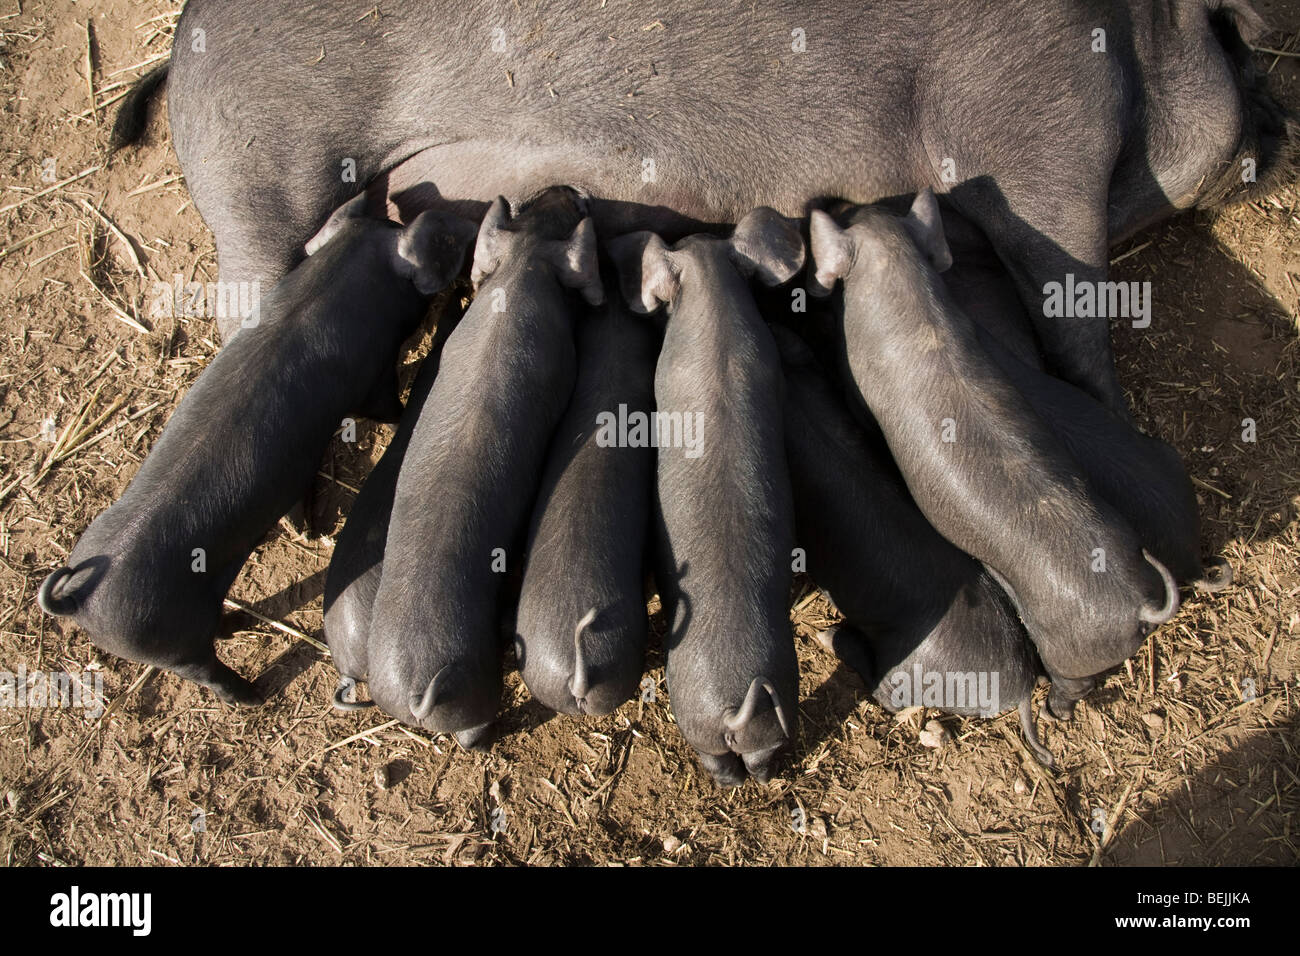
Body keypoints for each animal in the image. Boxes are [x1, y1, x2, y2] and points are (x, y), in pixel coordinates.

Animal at [36, 198, 477, 703]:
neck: (332, 281)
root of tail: (80, 599)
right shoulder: (371, 375)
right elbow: (386, 404)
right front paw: (404, 410)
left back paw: (238, 623)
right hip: (170, 644)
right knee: (209, 673)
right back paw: (254, 694)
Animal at [122, 0, 1292, 414]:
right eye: (1240, 52)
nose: (1281, 129)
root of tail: (179, 43)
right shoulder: (1036, 131)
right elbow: (1074, 300)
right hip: (264, 159)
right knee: (251, 295)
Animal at [366, 185, 604, 751]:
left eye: (538, 204)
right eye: (574, 211)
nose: (569, 188)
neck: (524, 264)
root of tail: (418, 690)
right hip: (478, 686)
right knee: (475, 727)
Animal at [807, 190, 1180, 719]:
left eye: (848, 217)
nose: (836, 201)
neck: (904, 282)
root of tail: (1140, 607)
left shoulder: (861, 392)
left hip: (1068, 652)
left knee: (1071, 685)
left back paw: (1052, 711)